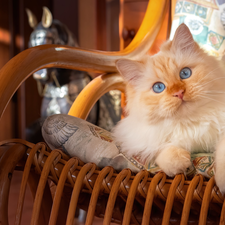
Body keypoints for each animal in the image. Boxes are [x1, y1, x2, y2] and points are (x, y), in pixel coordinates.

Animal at [114, 23, 225, 192]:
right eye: (159, 87)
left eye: (185, 73)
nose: (179, 93)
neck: (191, 121)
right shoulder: (146, 138)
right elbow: (165, 149)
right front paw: (180, 163)